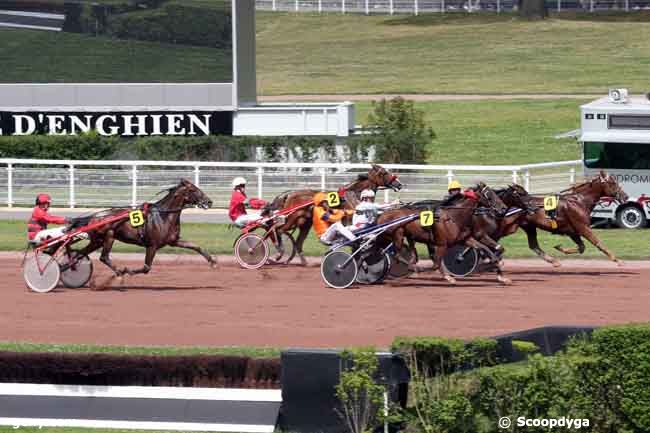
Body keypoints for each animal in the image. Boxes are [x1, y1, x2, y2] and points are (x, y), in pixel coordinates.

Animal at [74, 178, 214, 276]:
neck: (163, 215)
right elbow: (146, 268)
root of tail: (94, 217)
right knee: (103, 257)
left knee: (80, 254)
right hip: (109, 236)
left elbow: (195, 246)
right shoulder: (152, 245)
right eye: (193, 189)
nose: (209, 201)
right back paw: (119, 271)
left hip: (97, 241)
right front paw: (128, 271)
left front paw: (212, 261)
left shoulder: (173, 241)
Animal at [264, 164, 400, 264]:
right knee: (276, 229)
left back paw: (303, 262)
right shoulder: (350, 221)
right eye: (384, 173)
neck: (355, 194)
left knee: (296, 241)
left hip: (304, 224)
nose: (399, 184)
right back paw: (277, 252)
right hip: (293, 219)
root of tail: (289, 194)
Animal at [378, 181, 508, 284]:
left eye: (495, 193)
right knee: (397, 255)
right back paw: (414, 268)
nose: (503, 208)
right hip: (398, 234)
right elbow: (436, 263)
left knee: (412, 256)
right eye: (489, 195)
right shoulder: (442, 244)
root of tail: (384, 214)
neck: (454, 217)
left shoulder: (465, 239)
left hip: (410, 237)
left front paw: (500, 272)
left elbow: (484, 248)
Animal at [496, 170, 628, 264]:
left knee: (534, 246)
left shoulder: (573, 231)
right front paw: (617, 260)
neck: (579, 201)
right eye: (613, 183)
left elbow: (581, 247)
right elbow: (598, 242)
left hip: (529, 227)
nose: (625, 196)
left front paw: (560, 247)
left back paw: (553, 261)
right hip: (508, 226)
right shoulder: (583, 227)